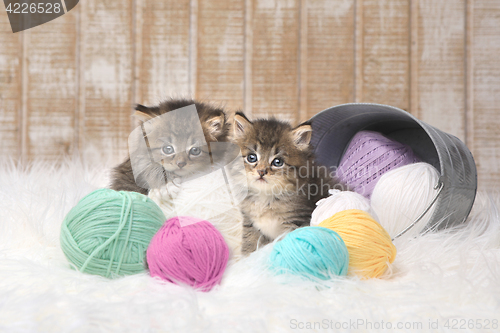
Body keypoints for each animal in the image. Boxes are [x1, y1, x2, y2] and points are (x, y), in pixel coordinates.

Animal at [230, 112, 340, 254]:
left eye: (278, 162)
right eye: (251, 158)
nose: (261, 171)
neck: (265, 198)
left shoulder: (296, 221)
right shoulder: (250, 223)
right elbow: (250, 245)